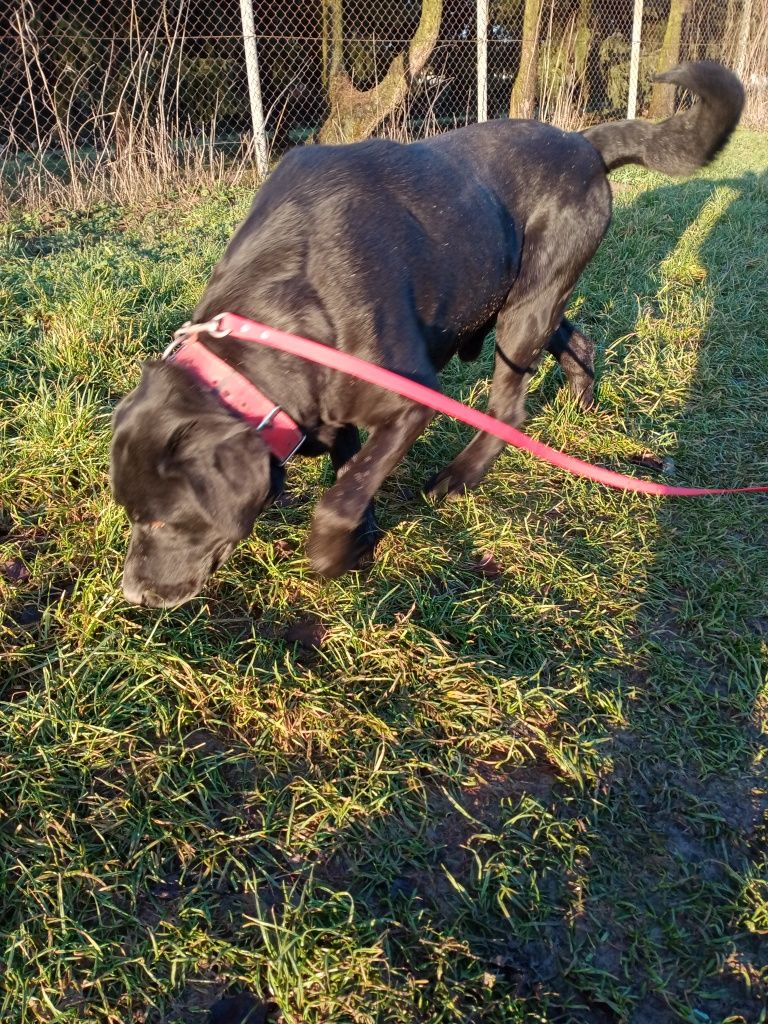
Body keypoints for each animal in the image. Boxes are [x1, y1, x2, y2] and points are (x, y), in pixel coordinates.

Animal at [111, 61, 741, 606]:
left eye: (163, 518)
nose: (134, 595)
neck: (275, 326)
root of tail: (583, 143)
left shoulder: (410, 402)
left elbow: (337, 501)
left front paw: (333, 556)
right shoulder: (335, 408)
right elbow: (351, 474)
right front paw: (361, 539)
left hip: (524, 312)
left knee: (509, 409)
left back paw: (460, 477)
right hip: (524, 298)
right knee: (576, 343)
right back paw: (582, 404)